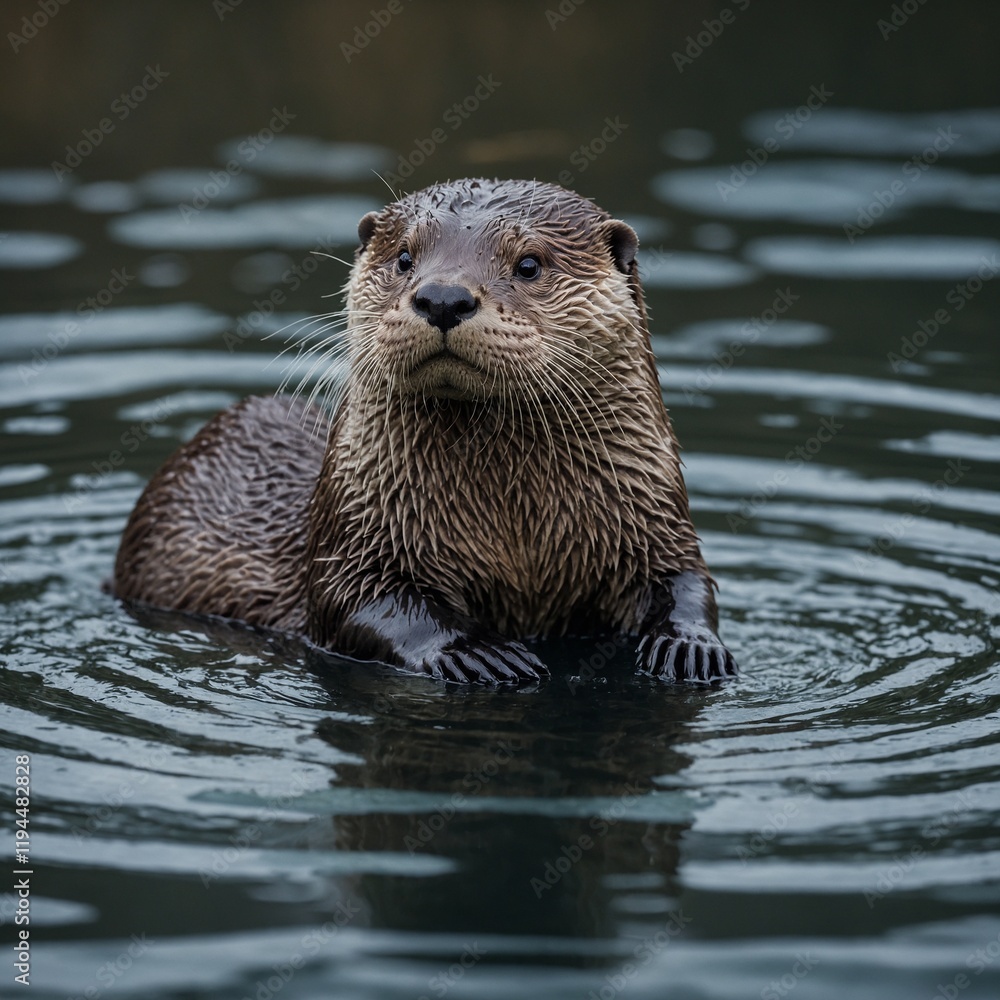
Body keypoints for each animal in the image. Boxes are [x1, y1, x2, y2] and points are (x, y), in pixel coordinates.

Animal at [113, 178, 737, 685]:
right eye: (405, 257)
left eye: (529, 264)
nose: (443, 296)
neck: (519, 534)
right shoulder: (358, 532)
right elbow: (363, 601)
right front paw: (477, 653)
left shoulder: (653, 517)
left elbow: (687, 581)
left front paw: (690, 647)